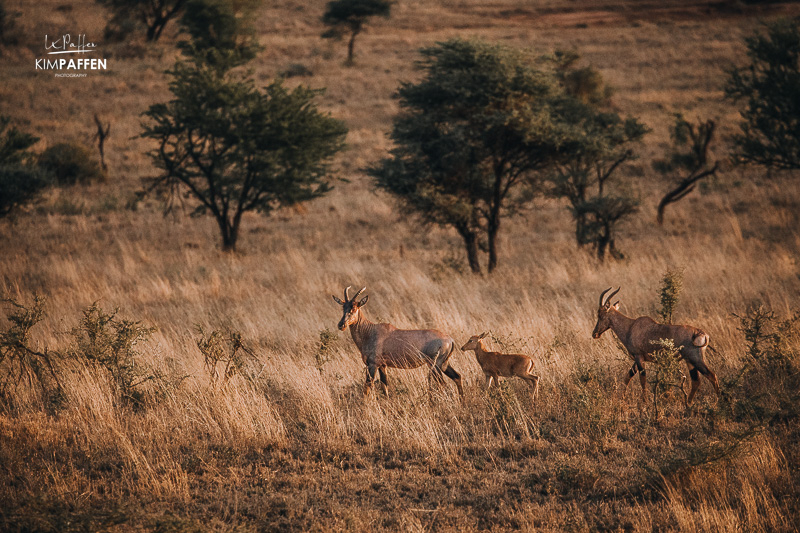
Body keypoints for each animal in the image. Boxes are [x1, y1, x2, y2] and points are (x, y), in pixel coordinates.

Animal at [330, 286, 462, 394]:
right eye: (343, 307)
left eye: (355, 308)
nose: (341, 325)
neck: (370, 331)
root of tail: (450, 340)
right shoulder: (383, 366)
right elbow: (385, 389)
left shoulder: (373, 365)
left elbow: (366, 389)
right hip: (444, 364)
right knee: (458, 377)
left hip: (435, 365)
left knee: (444, 385)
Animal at [592, 286, 720, 404]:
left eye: (600, 314)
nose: (595, 334)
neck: (631, 326)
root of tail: (702, 333)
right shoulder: (638, 359)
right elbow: (628, 376)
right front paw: (622, 398)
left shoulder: (639, 357)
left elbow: (642, 380)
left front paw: (645, 402)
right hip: (690, 361)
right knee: (696, 381)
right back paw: (688, 404)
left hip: (696, 359)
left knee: (712, 376)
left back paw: (718, 402)